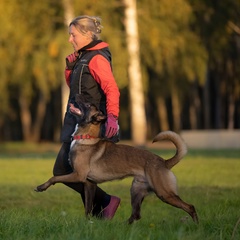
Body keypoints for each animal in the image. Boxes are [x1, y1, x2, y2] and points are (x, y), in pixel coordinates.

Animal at [34, 94, 198, 224]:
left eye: (88, 105)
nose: (77, 94)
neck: (86, 137)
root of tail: (164, 162)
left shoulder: (77, 175)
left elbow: (55, 178)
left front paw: (41, 187)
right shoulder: (89, 184)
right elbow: (88, 207)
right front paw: (88, 222)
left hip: (164, 193)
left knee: (190, 206)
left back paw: (196, 225)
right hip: (136, 191)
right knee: (136, 215)